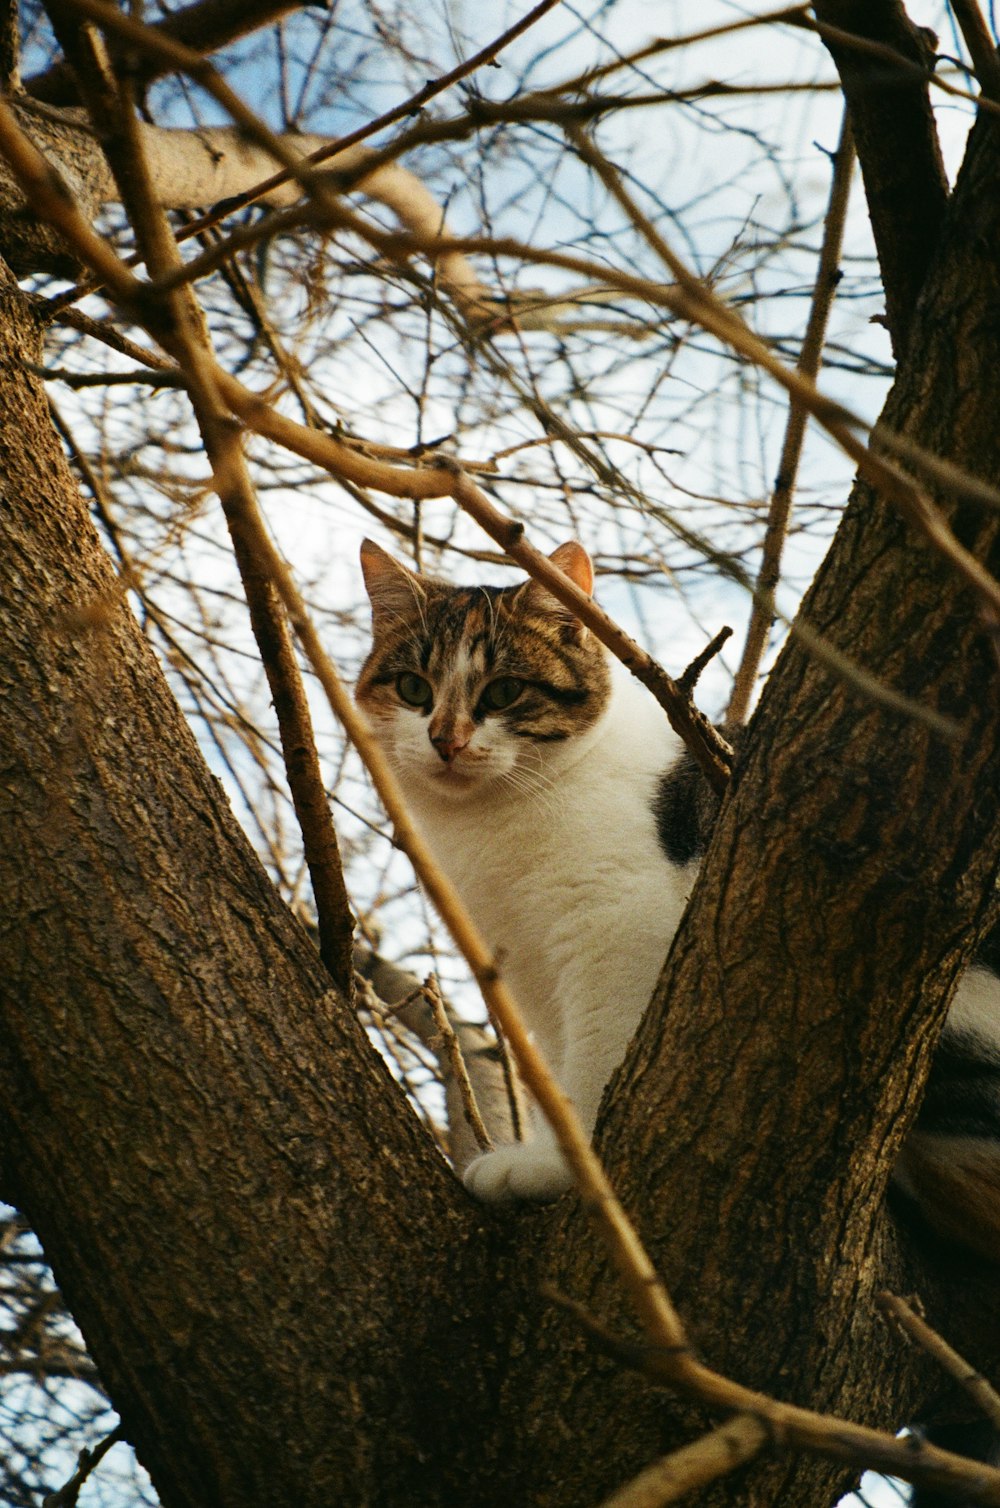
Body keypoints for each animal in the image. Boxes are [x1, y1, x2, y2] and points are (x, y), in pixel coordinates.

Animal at [354, 542, 1000, 1236]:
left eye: (504, 691)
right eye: (413, 689)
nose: (445, 740)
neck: (489, 827)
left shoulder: (616, 925)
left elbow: (596, 1055)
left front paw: (560, 1170)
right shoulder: (525, 970)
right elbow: (557, 1063)